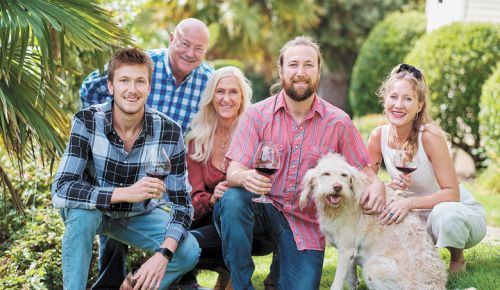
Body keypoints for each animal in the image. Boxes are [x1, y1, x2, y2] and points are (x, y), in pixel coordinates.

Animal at [298, 153, 448, 288]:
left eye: (344, 175)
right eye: (326, 174)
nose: (337, 187)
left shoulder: (346, 252)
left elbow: (336, 284)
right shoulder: (350, 257)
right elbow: (351, 281)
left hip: (371, 267)